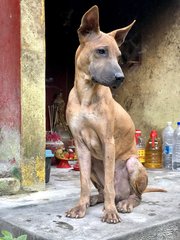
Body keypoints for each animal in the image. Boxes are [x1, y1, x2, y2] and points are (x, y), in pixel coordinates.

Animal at [65, 5, 148, 223]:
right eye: (101, 51)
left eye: (119, 56)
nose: (120, 78)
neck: (86, 95)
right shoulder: (80, 144)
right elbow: (83, 183)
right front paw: (80, 206)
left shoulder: (108, 141)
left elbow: (110, 183)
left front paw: (110, 212)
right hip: (94, 163)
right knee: (102, 191)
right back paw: (92, 200)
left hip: (133, 163)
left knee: (135, 196)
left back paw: (124, 203)